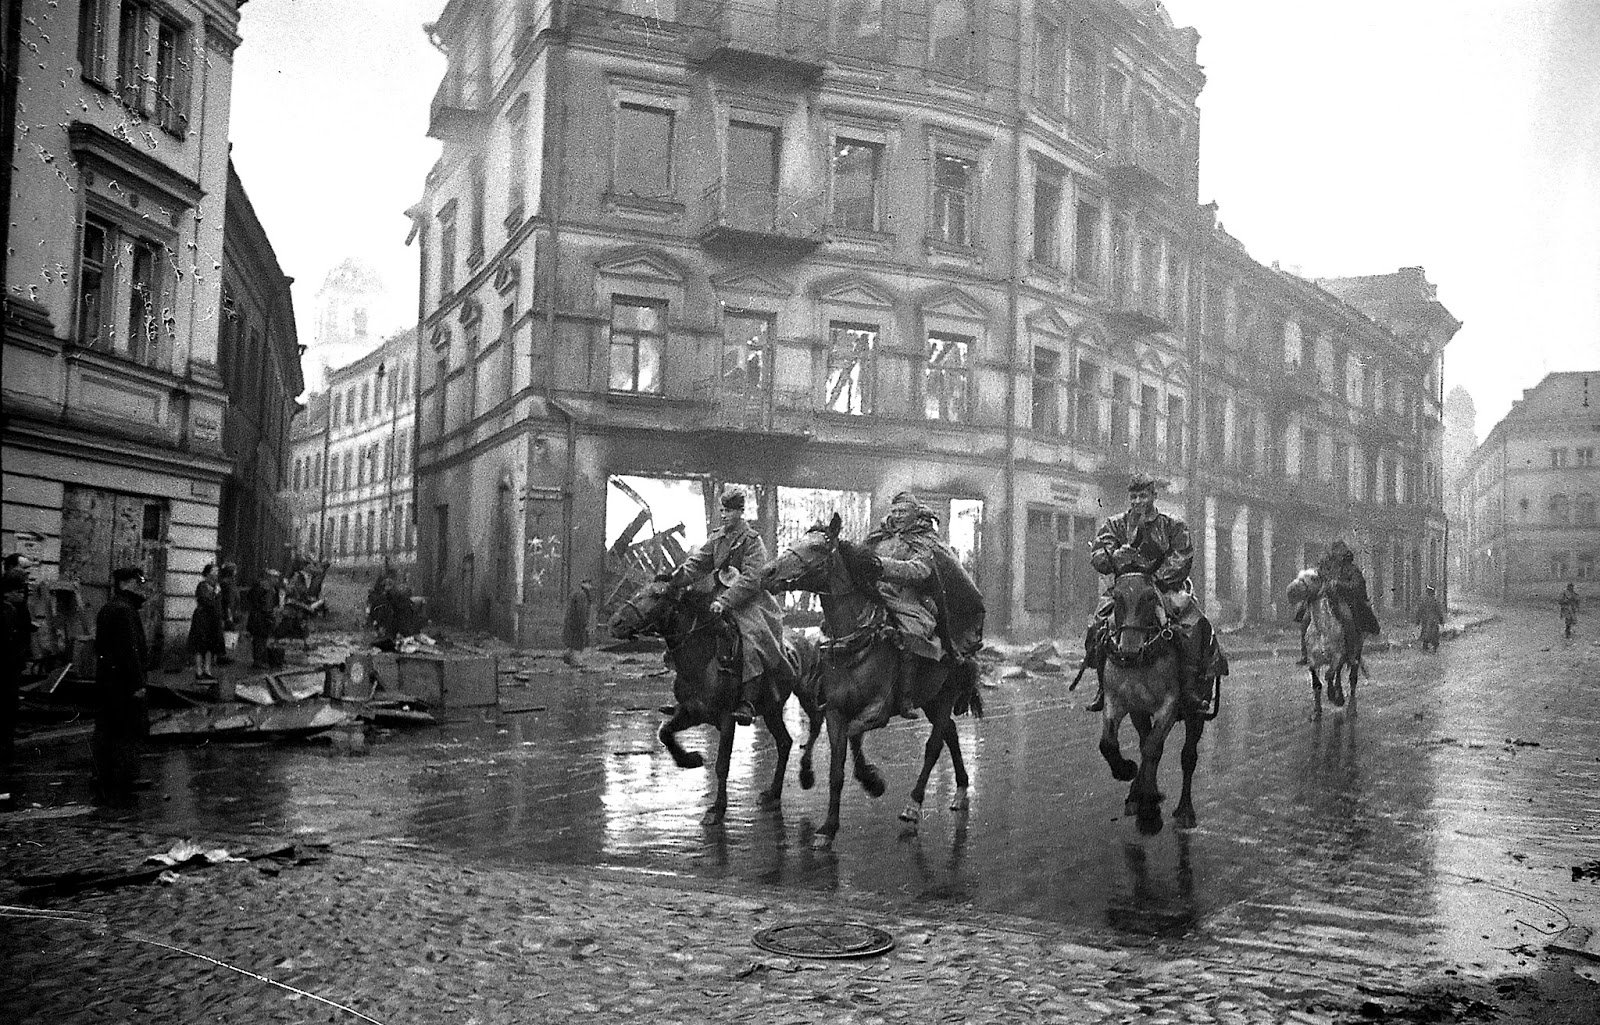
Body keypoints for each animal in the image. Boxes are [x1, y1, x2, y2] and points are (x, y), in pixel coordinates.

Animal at [601, 578, 819, 825]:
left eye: (657, 595)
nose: (615, 623)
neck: (702, 659)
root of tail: (804, 640)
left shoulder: (727, 719)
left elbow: (722, 765)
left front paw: (717, 809)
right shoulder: (691, 712)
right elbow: (664, 733)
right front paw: (691, 759)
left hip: (806, 694)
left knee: (815, 724)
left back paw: (806, 775)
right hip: (772, 709)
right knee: (784, 742)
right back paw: (773, 793)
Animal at [755, 514, 979, 850]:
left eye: (817, 547)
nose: (768, 572)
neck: (856, 645)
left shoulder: (878, 711)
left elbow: (855, 735)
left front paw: (872, 779)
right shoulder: (835, 711)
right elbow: (837, 769)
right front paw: (827, 827)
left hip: (945, 696)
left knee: (934, 745)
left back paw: (914, 805)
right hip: (930, 698)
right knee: (950, 734)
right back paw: (962, 791)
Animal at [1094, 572, 1203, 837]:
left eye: (1151, 597)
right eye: (1117, 597)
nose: (1130, 651)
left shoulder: (1170, 705)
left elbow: (1154, 748)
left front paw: (1150, 816)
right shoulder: (1117, 701)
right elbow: (1108, 744)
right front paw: (1126, 771)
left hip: (1196, 714)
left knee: (1187, 756)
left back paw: (1184, 811)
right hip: (1139, 712)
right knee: (1145, 741)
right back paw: (1137, 795)